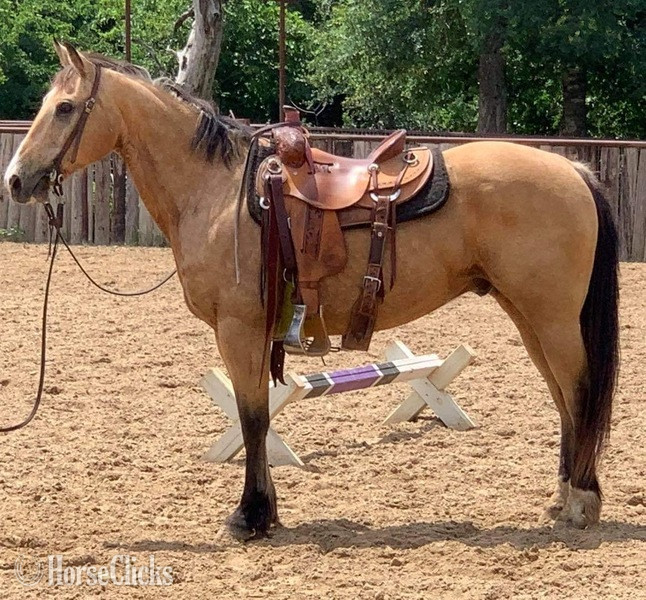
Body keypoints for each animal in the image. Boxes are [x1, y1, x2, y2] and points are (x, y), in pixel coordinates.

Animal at [4, 42, 619, 538]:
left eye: (64, 107)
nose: (16, 179)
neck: (219, 193)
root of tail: (574, 171)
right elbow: (256, 415)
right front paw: (265, 511)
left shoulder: (240, 329)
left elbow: (253, 417)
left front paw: (251, 516)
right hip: (528, 315)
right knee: (563, 398)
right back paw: (563, 498)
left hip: (552, 318)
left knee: (578, 392)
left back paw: (580, 503)